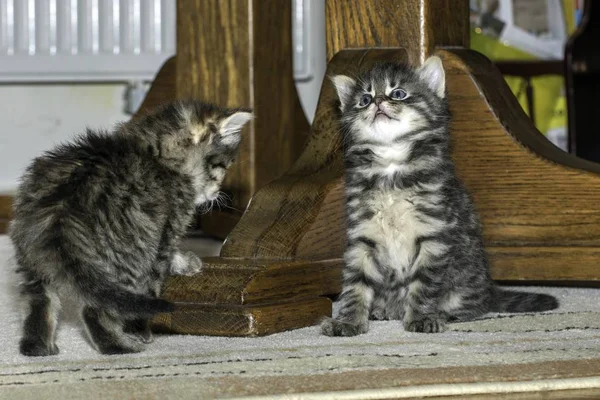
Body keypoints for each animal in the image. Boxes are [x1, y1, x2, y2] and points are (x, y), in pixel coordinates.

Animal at [9, 99, 253, 354]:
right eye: (223, 167)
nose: (217, 194)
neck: (158, 154)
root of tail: (59, 213)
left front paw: (186, 262)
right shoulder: (165, 229)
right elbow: (155, 280)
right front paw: (140, 329)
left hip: (32, 261)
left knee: (38, 302)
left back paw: (38, 348)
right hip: (124, 257)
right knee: (96, 309)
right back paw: (118, 346)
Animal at [322, 55, 560, 338]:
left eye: (398, 93)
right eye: (364, 100)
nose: (378, 101)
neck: (392, 167)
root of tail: (490, 290)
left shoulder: (433, 237)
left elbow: (424, 285)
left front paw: (422, 317)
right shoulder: (363, 238)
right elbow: (355, 285)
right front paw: (348, 321)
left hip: (466, 283)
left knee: (474, 306)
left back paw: (446, 313)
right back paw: (382, 309)